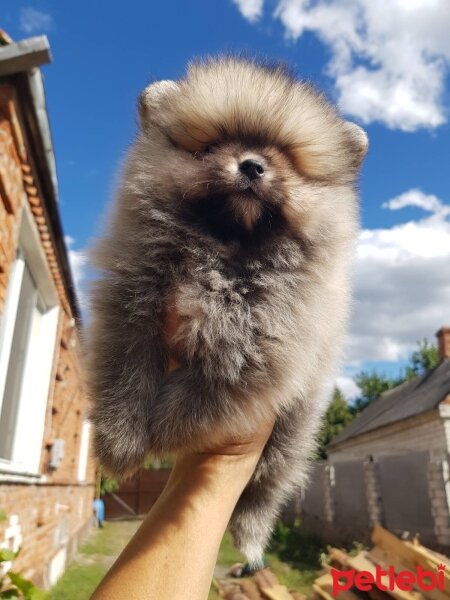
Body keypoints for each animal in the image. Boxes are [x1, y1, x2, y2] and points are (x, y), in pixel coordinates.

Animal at [86, 56, 368, 564]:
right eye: (213, 145)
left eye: (287, 158)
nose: (252, 165)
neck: (225, 251)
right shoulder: (131, 306)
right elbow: (125, 378)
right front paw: (122, 442)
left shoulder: (262, 347)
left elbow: (197, 399)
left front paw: (161, 434)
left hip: (295, 425)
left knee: (270, 479)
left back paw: (252, 532)